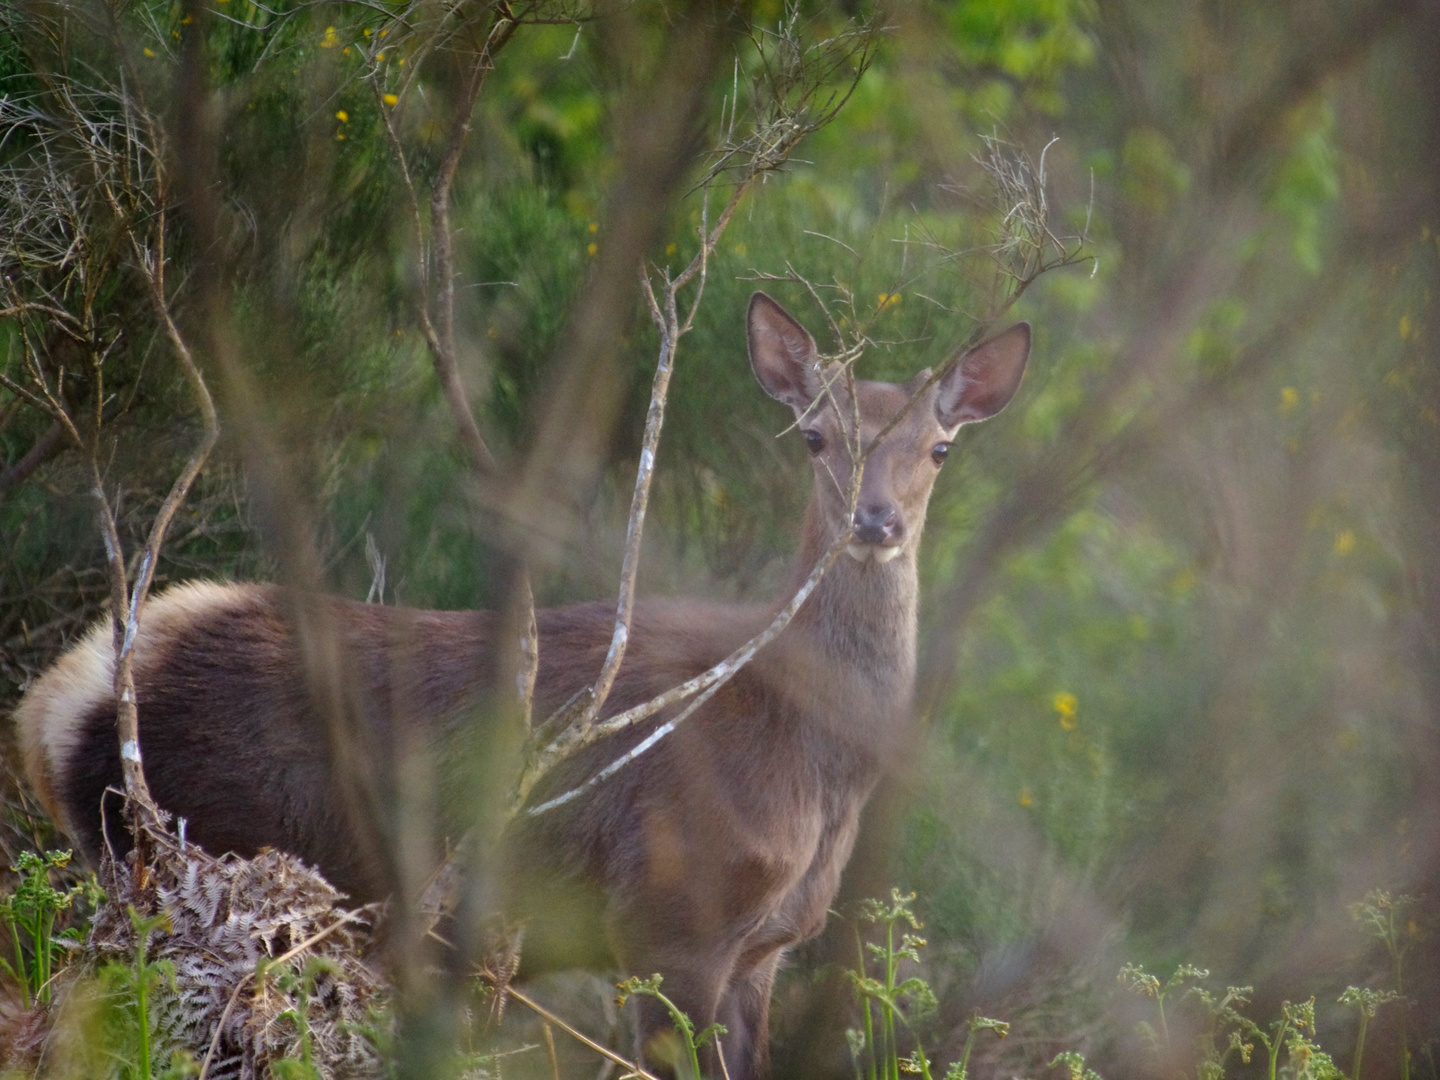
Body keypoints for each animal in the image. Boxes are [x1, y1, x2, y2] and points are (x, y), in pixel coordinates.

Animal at [8, 289, 1025, 1080]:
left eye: (938, 448)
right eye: (814, 437)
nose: (876, 520)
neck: (810, 761)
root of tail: (55, 702)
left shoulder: (762, 952)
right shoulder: (670, 917)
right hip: (201, 859)